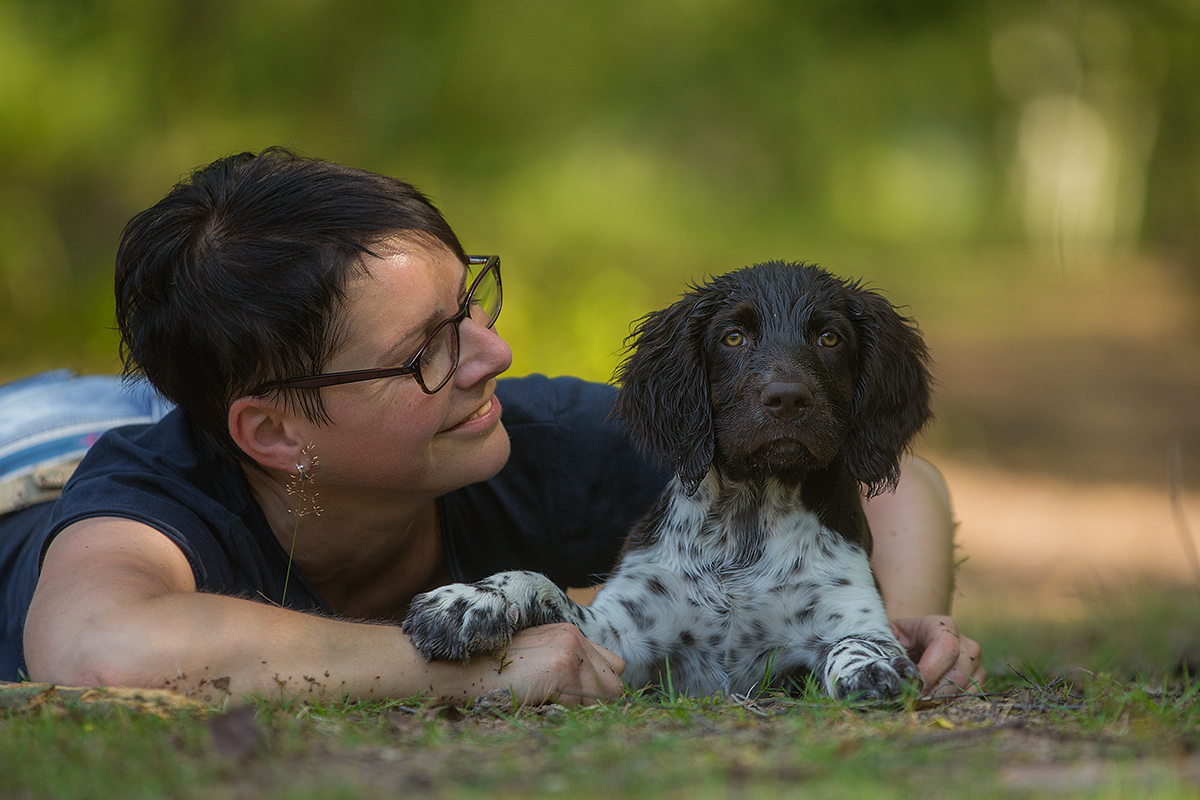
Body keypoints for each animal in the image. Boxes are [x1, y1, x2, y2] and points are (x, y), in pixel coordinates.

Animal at [408, 262, 931, 700]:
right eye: (733, 337)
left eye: (829, 338)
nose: (787, 398)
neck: (751, 513)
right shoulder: (620, 639)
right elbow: (539, 582)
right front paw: (467, 602)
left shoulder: (847, 609)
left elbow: (862, 639)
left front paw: (874, 666)